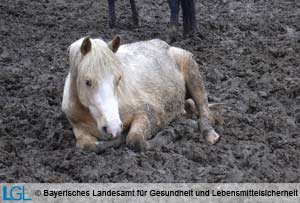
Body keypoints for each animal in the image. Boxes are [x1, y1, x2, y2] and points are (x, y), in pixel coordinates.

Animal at [62, 35, 221, 151]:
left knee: (205, 114)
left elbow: (135, 140)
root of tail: (168, 46)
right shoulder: (79, 129)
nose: (113, 128)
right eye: (88, 82)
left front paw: (171, 133)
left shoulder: (149, 112)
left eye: (119, 78)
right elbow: (87, 146)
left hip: (191, 70)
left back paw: (208, 133)